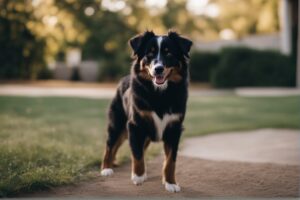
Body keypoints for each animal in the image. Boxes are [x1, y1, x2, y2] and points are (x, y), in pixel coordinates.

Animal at [101, 30, 192, 192]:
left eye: (169, 53)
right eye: (149, 54)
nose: (158, 69)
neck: (160, 94)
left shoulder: (174, 129)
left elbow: (170, 160)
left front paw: (171, 183)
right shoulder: (135, 126)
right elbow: (137, 154)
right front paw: (138, 176)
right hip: (117, 125)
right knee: (110, 146)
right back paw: (106, 168)